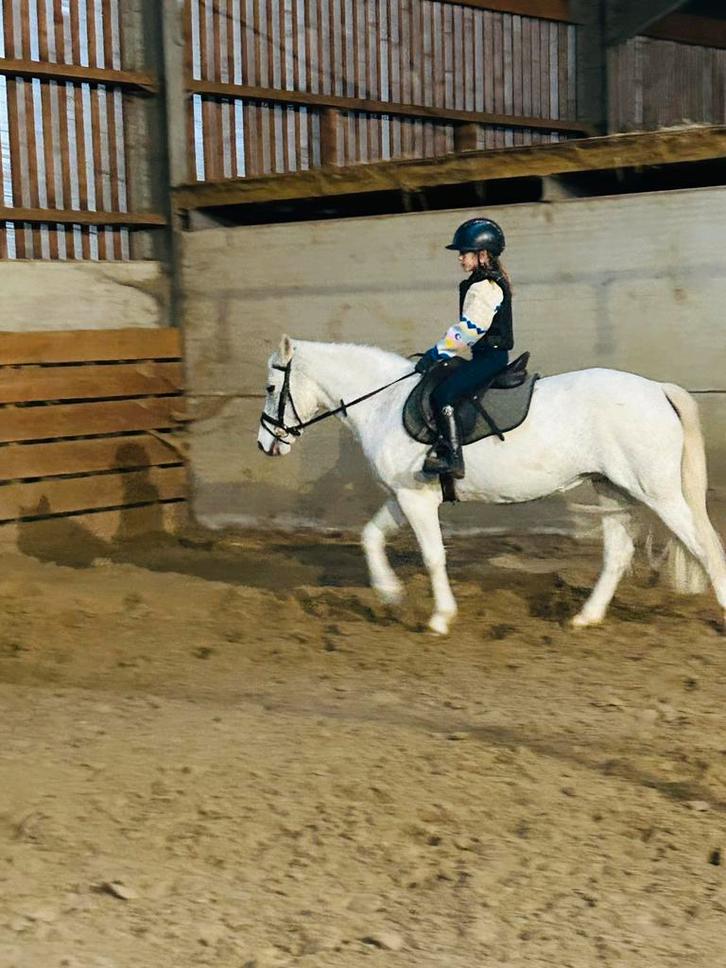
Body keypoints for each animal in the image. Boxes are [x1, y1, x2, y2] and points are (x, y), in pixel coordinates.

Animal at [257, 335, 726, 635]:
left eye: (270, 387)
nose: (265, 444)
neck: (385, 403)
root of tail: (657, 390)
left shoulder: (415, 498)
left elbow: (433, 556)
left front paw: (440, 618)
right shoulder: (406, 495)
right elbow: (370, 536)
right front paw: (390, 596)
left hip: (657, 493)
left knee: (705, 547)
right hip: (612, 487)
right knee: (617, 555)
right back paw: (585, 618)